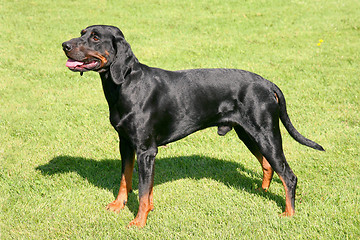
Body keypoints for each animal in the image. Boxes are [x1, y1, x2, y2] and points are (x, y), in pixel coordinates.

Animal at [62, 25, 324, 228]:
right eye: (82, 33)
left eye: (96, 37)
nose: (64, 44)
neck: (127, 84)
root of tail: (267, 83)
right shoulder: (125, 144)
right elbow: (126, 179)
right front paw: (119, 206)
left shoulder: (146, 151)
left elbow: (144, 191)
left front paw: (139, 221)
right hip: (249, 134)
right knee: (268, 165)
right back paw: (262, 192)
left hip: (266, 134)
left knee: (288, 175)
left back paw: (289, 213)